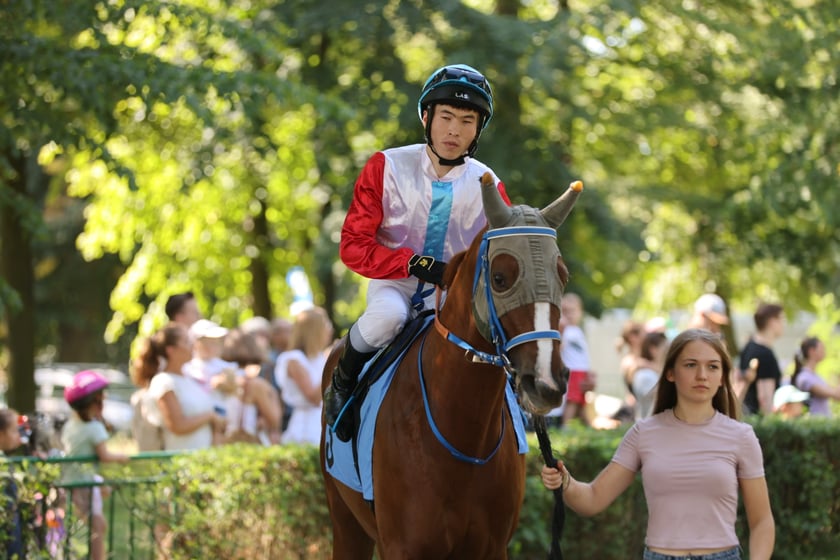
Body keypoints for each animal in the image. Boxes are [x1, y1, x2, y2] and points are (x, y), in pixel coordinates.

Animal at [318, 173, 580, 556]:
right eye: (500, 278)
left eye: (562, 274)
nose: (546, 381)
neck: (463, 436)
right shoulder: (402, 546)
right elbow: (356, 240)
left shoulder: (492, 547)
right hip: (344, 518)